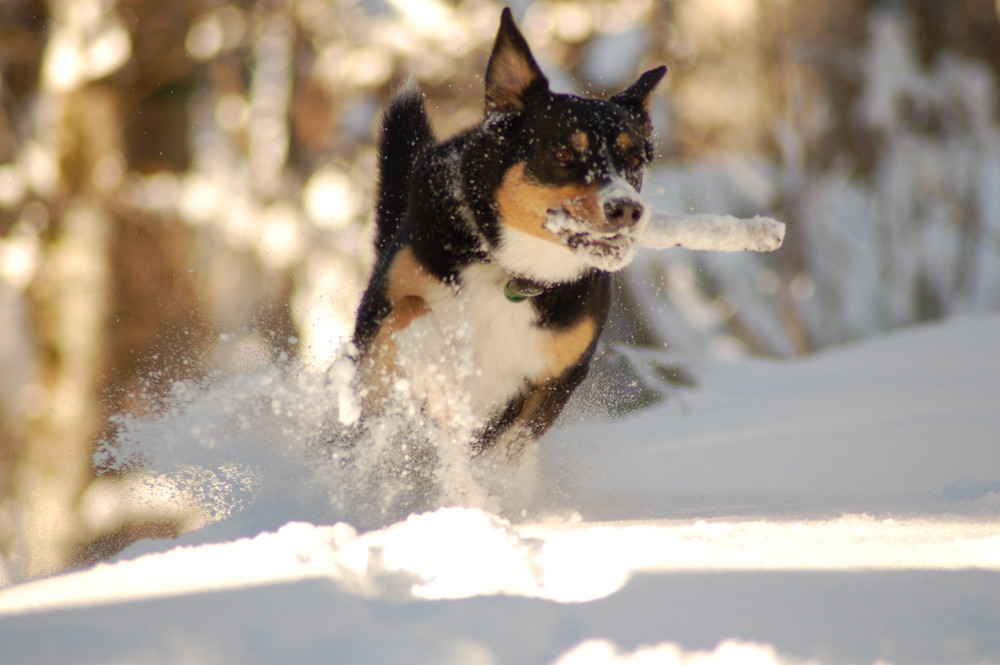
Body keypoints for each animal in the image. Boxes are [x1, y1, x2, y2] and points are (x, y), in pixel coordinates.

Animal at [350, 7, 664, 460]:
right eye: (563, 153)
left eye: (634, 159)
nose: (627, 209)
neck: (513, 271)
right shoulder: (382, 306)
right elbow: (411, 312)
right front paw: (436, 377)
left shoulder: (555, 381)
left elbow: (500, 446)